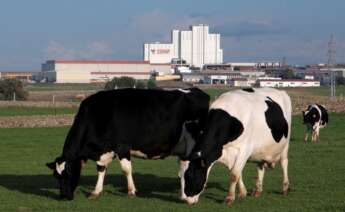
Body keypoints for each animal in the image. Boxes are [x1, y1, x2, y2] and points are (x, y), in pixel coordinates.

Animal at [46, 87, 208, 200]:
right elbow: (101, 169)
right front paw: (96, 191)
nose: (64, 196)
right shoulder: (104, 151)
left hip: (193, 142)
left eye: (68, 173)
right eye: (56, 176)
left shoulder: (122, 147)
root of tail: (196, 90)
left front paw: (131, 191)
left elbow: (126, 169)